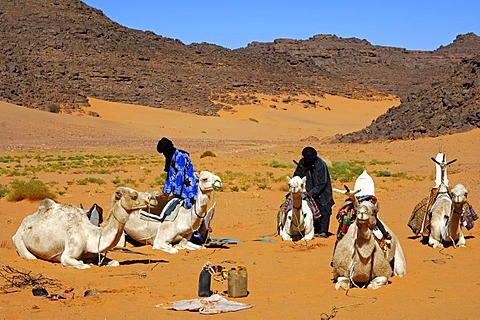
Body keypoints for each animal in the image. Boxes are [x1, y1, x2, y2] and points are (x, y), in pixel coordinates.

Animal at [12, 186, 158, 268]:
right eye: (134, 195)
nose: (154, 198)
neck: (89, 236)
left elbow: (115, 262)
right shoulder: (68, 254)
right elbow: (83, 265)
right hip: (19, 239)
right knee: (30, 256)